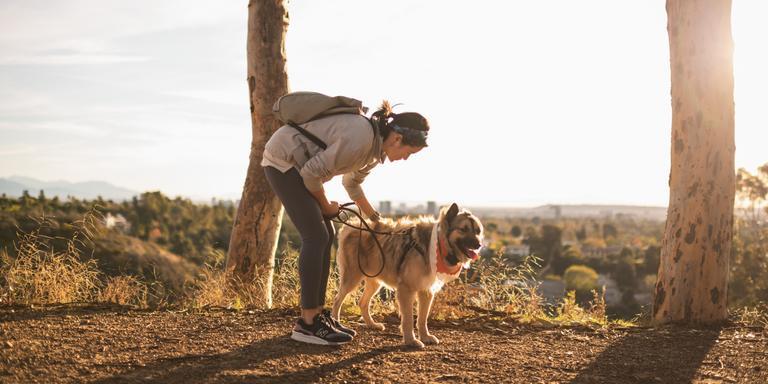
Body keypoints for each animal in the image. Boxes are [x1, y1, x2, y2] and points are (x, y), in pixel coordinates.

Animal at [332, 204, 486, 348]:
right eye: (463, 229)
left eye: (478, 231)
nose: (479, 245)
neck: (434, 244)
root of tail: (351, 226)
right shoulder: (406, 290)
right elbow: (408, 319)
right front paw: (411, 340)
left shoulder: (426, 291)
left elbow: (422, 318)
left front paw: (425, 336)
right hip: (351, 278)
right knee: (337, 300)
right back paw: (336, 325)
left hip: (374, 281)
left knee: (362, 302)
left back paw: (372, 324)